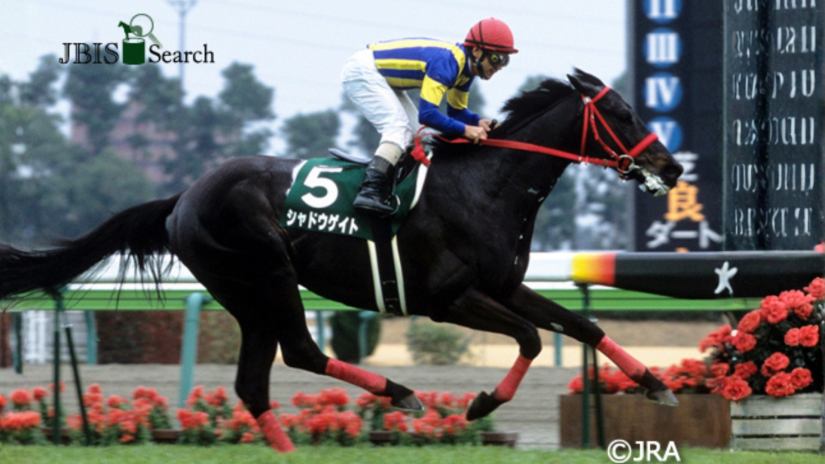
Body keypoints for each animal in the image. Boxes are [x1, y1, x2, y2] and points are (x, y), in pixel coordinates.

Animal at [0, 69, 683, 452]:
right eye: (621, 113)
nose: (672, 167)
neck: (487, 186)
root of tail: (183, 196)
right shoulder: (449, 300)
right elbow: (532, 339)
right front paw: (481, 404)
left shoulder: (505, 285)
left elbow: (582, 325)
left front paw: (655, 384)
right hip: (266, 273)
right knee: (300, 352)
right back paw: (401, 393)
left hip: (246, 295)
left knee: (254, 382)